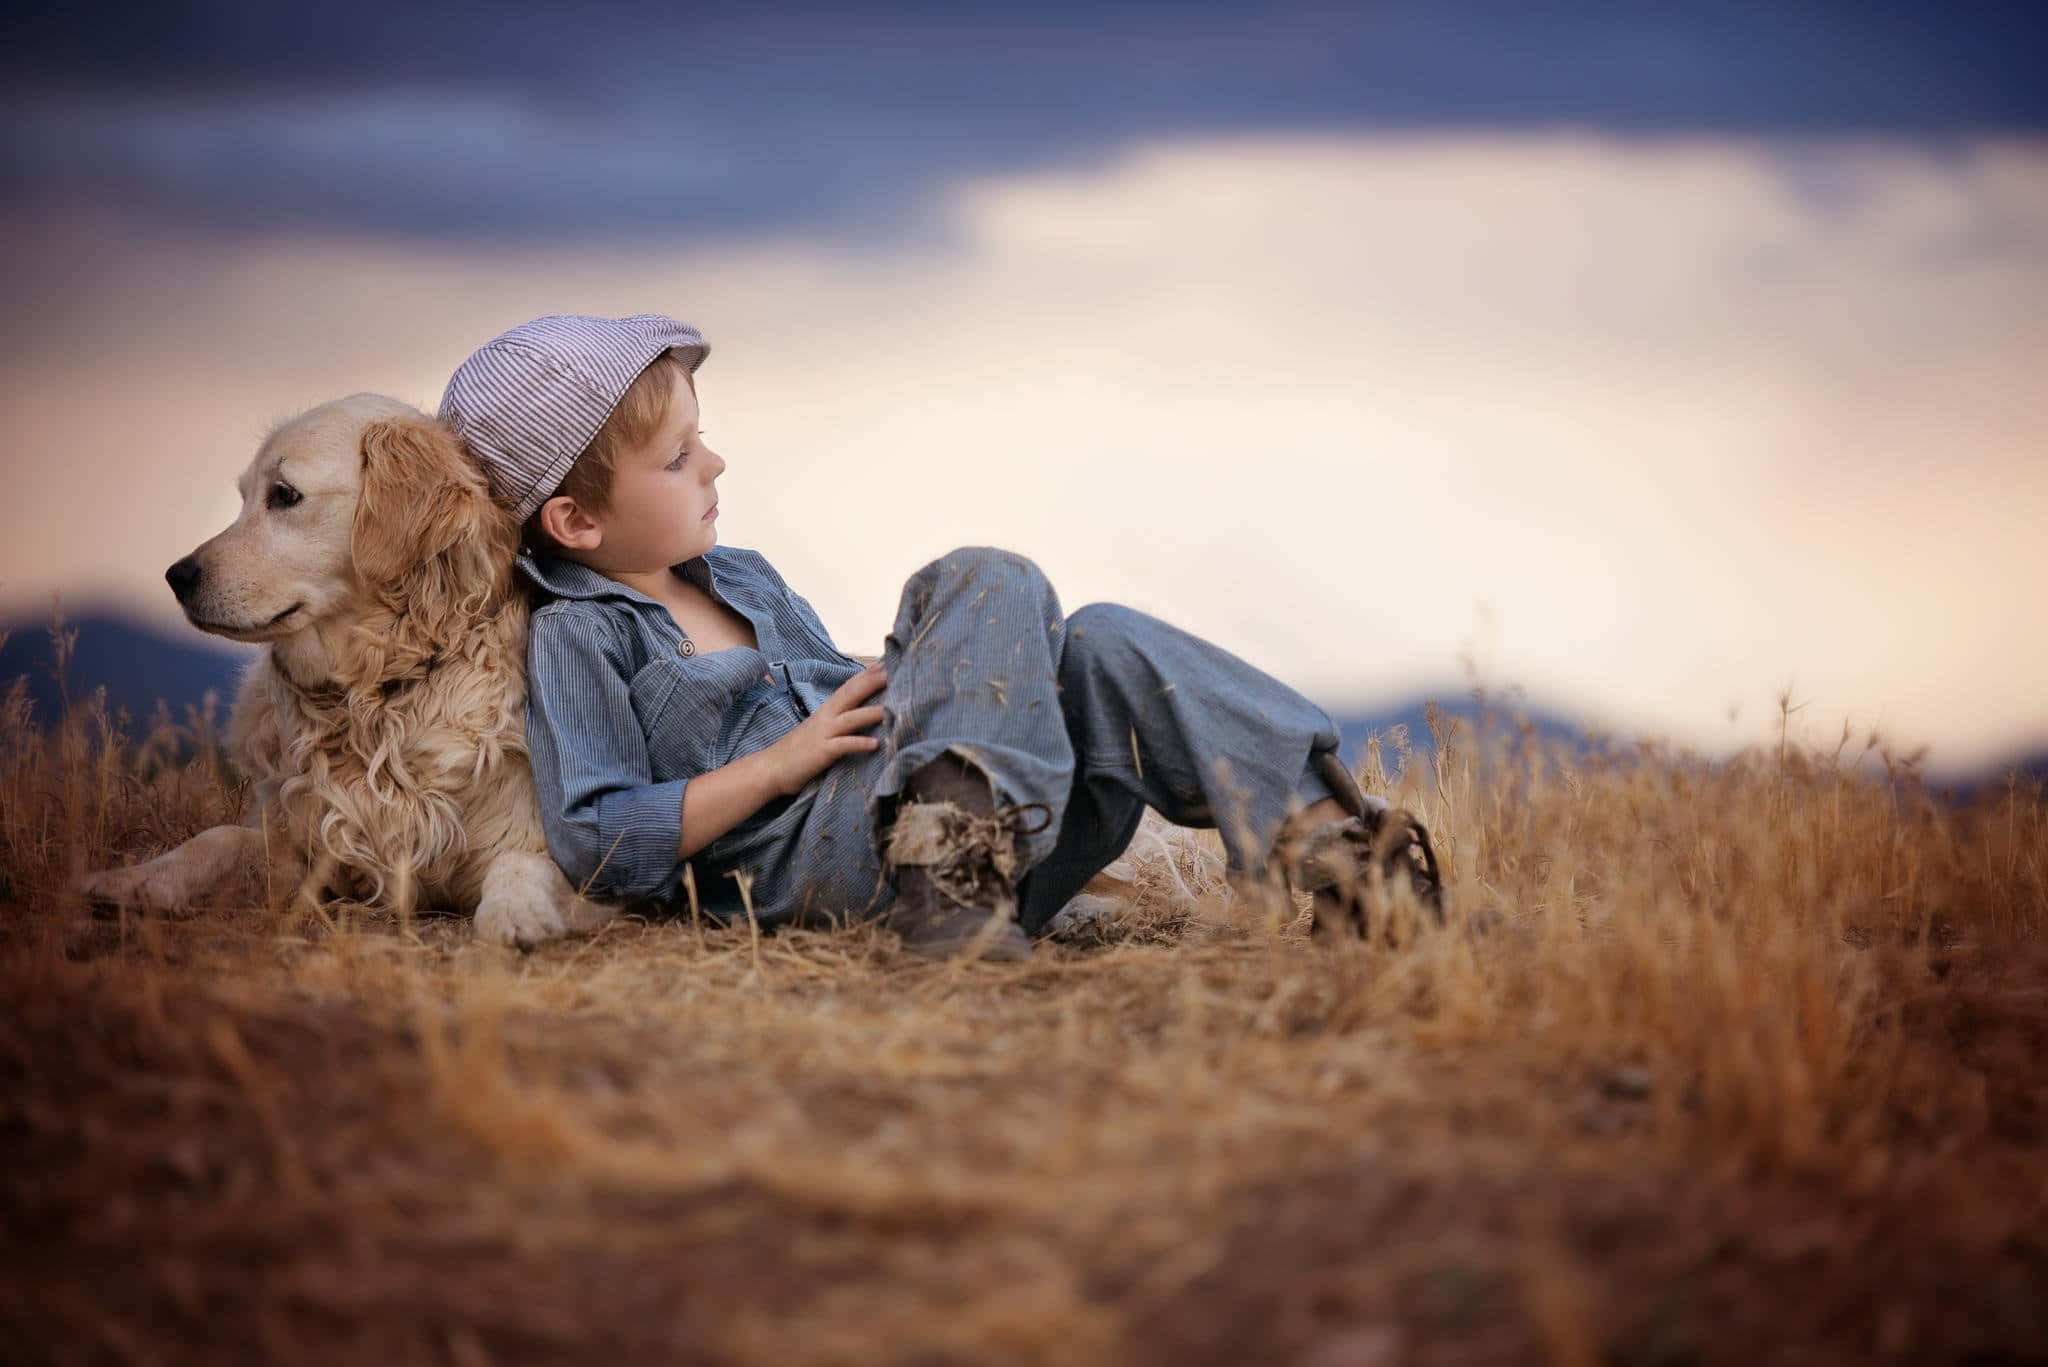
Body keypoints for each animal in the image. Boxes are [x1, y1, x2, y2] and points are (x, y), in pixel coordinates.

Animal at [79, 393, 606, 950]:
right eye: (244, 497)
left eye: (284, 495)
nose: (176, 576)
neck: (374, 692)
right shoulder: (313, 849)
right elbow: (218, 838)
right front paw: (135, 879)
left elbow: (520, 863)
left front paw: (517, 914)